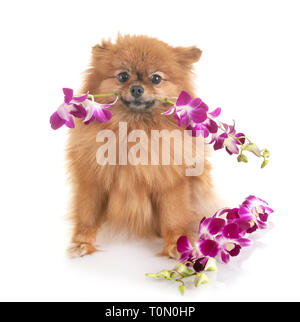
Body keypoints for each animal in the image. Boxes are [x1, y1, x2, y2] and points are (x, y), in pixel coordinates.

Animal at [67, 34, 219, 260]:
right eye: (122, 76)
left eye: (156, 78)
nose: (137, 88)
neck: (135, 130)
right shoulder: (93, 180)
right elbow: (87, 215)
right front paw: (81, 243)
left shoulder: (171, 183)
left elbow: (173, 215)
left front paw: (177, 243)